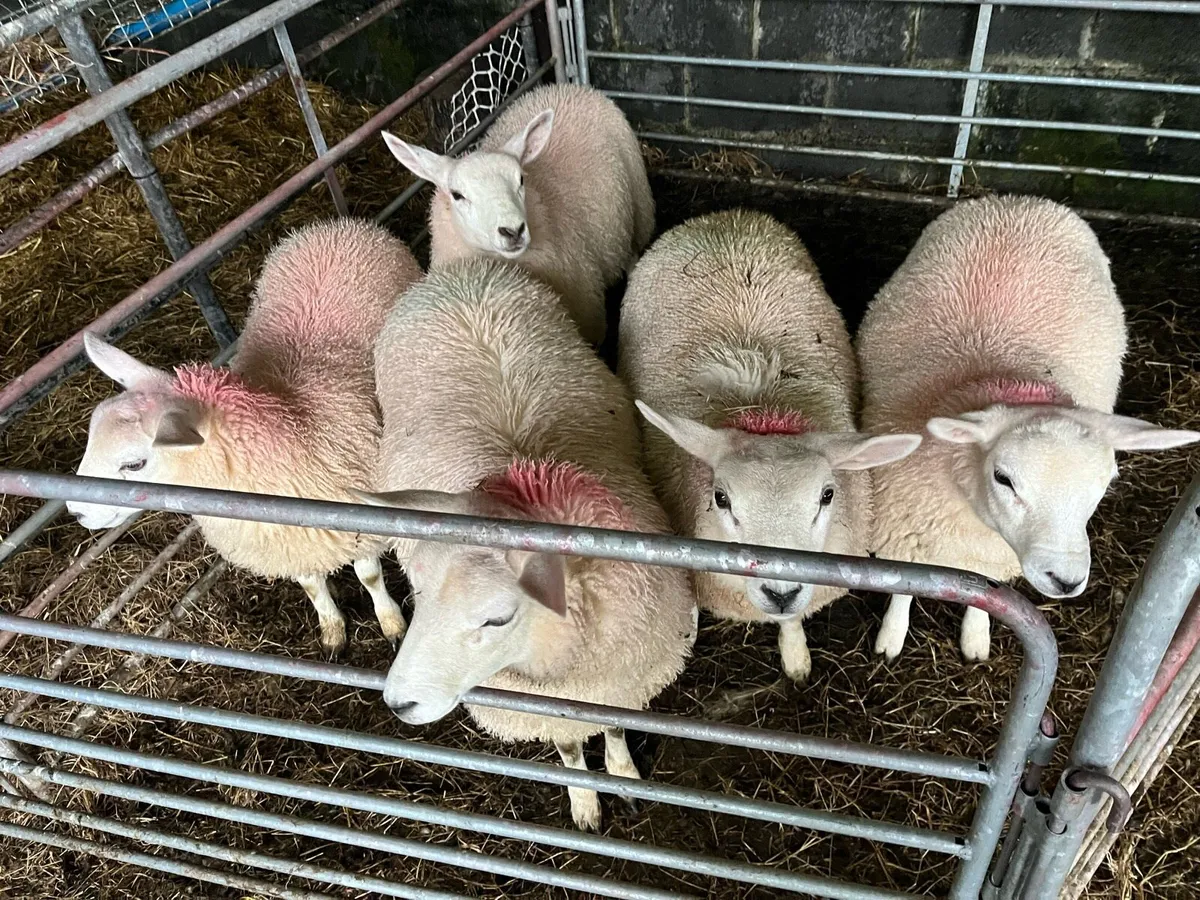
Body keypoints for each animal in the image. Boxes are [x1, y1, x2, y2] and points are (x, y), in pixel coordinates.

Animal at [67, 218, 423, 657]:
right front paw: (332, 630)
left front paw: (392, 623)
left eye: (133, 463)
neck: (291, 425)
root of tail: (338, 226)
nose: (75, 512)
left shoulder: (361, 527)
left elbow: (370, 577)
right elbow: (311, 585)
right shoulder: (287, 542)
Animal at [356, 257, 696, 832]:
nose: (398, 704)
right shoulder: (548, 705)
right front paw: (586, 802)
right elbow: (570, 751)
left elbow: (614, 730)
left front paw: (624, 775)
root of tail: (463, 273)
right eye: (417, 594)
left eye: (497, 618)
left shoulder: (617, 686)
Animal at [380, 82, 654, 346]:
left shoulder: (590, 318)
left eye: (521, 179)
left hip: (639, 205)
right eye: (457, 195)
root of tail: (565, 87)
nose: (513, 231)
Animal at [617, 209, 922, 682]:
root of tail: (725, 218)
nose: (780, 591)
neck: (764, 408)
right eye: (720, 499)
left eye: (827, 495)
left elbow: (792, 620)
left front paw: (795, 656)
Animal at [858, 195, 1200, 663]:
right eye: (1004, 478)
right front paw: (891, 637)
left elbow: (985, 597)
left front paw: (977, 637)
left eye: (1106, 483)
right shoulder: (904, 536)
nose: (1066, 580)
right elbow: (902, 591)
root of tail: (1022, 201)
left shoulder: (987, 560)